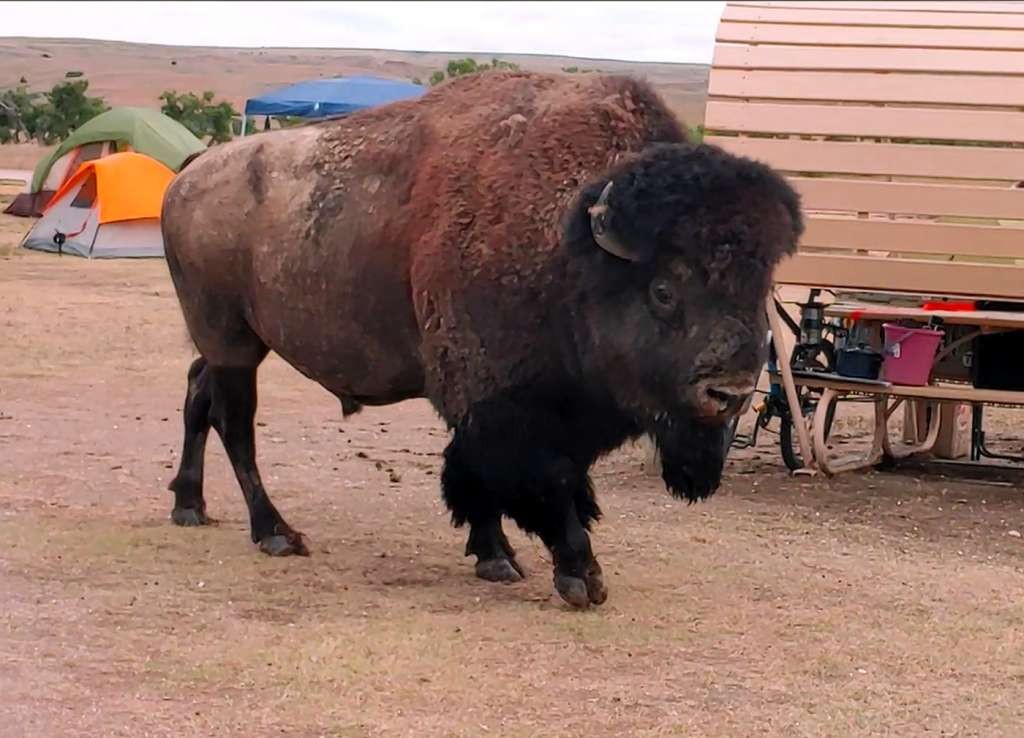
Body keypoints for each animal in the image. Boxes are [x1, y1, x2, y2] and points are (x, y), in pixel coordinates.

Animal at [161, 71, 802, 608]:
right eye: (665, 290)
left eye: (760, 285)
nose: (730, 391)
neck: (570, 246)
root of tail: (190, 171)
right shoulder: (503, 402)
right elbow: (539, 478)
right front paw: (580, 576)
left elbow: (482, 474)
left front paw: (496, 557)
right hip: (232, 341)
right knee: (234, 424)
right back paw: (275, 533)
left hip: (227, 342)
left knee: (198, 397)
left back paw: (189, 506)